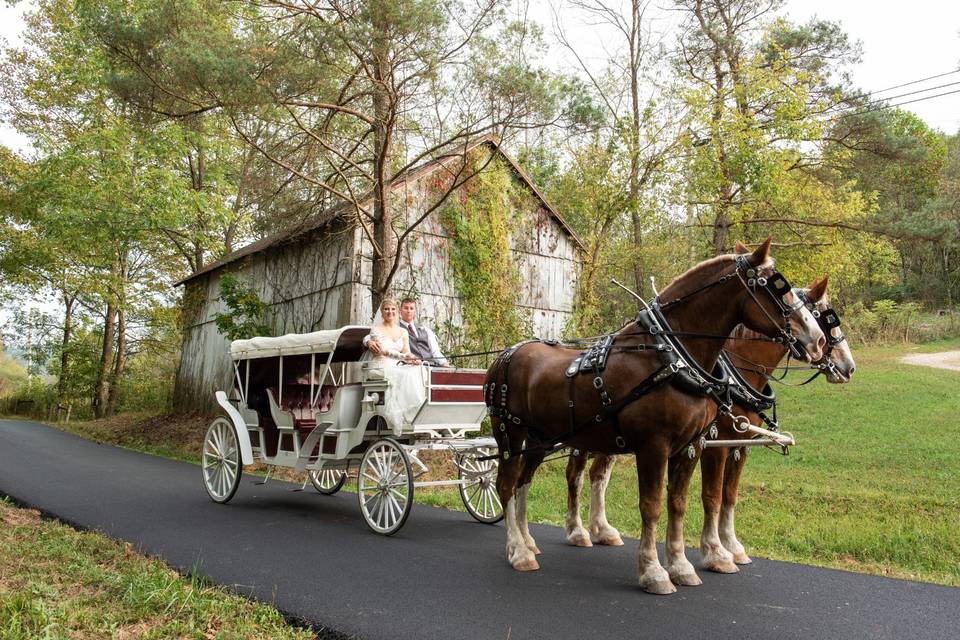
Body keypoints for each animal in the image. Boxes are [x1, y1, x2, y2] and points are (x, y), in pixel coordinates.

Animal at [488, 240, 824, 596]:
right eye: (776, 287)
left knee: (523, 483)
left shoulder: (691, 446)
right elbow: (652, 506)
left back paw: (527, 541)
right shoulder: (654, 447)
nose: (817, 340)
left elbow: (678, 503)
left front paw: (681, 565)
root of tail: (506, 354)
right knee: (506, 485)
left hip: (539, 439)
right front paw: (653, 572)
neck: (669, 356)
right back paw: (519, 551)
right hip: (510, 434)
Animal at [564, 270, 856, 580]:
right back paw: (577, 530)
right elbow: (712, 496)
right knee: (576, 475)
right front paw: (715, 552)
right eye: (824, 316)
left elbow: (729, 495)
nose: (848, 367)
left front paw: (733, 547)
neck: (738, 370)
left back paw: (602, 529)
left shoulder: (739, 446)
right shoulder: (716, 443)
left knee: (599, 475)